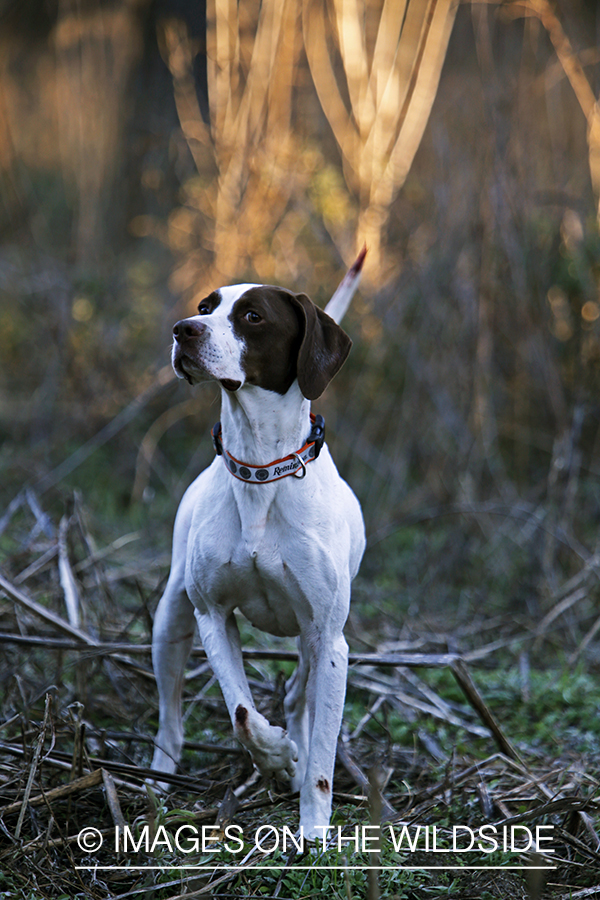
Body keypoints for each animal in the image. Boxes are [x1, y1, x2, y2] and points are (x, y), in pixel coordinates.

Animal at [150, 251, 366, 836]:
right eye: (206, 307)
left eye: (251, 316)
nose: (183, 329)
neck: (260, 471)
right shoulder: (212, 616)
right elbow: (244, 714)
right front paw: (276, 758)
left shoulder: (330, 640)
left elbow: (321, 761)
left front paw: (314, 832)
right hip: (170, 618)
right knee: (171, 717)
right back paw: (160, 779)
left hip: (316, 644)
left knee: (299, 696)